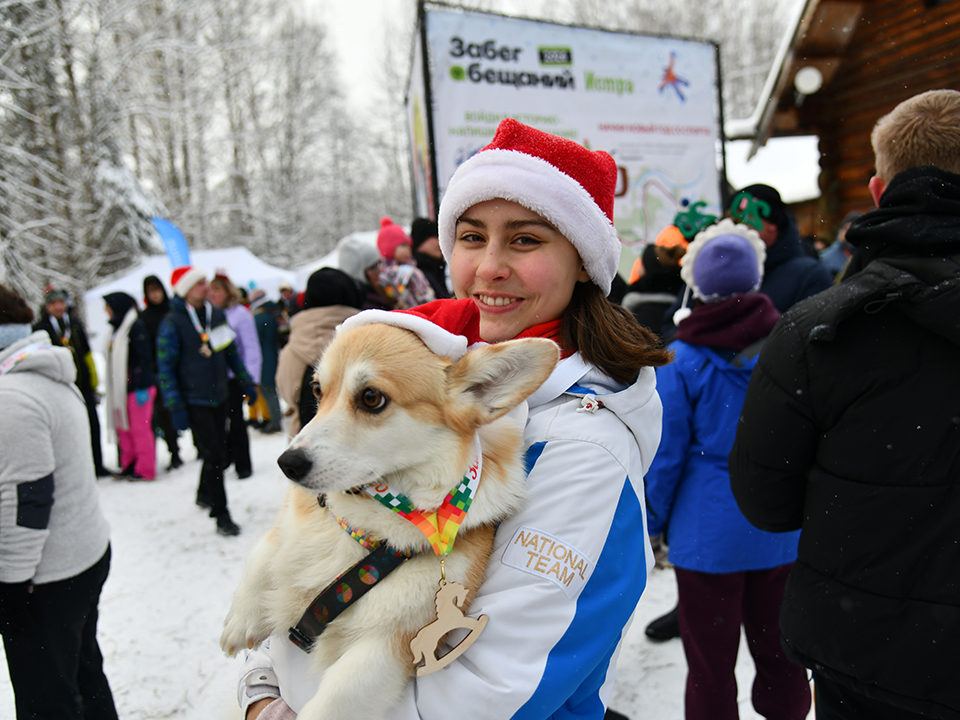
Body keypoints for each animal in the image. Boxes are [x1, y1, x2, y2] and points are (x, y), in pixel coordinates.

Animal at [221, 318, 558, 720]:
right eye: (317, 389)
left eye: (371, 398)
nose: (287, 464)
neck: (369, 524)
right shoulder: (295, 520)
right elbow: (264, 553)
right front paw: (241, 621)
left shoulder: (386, 646)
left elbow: (331, 701)